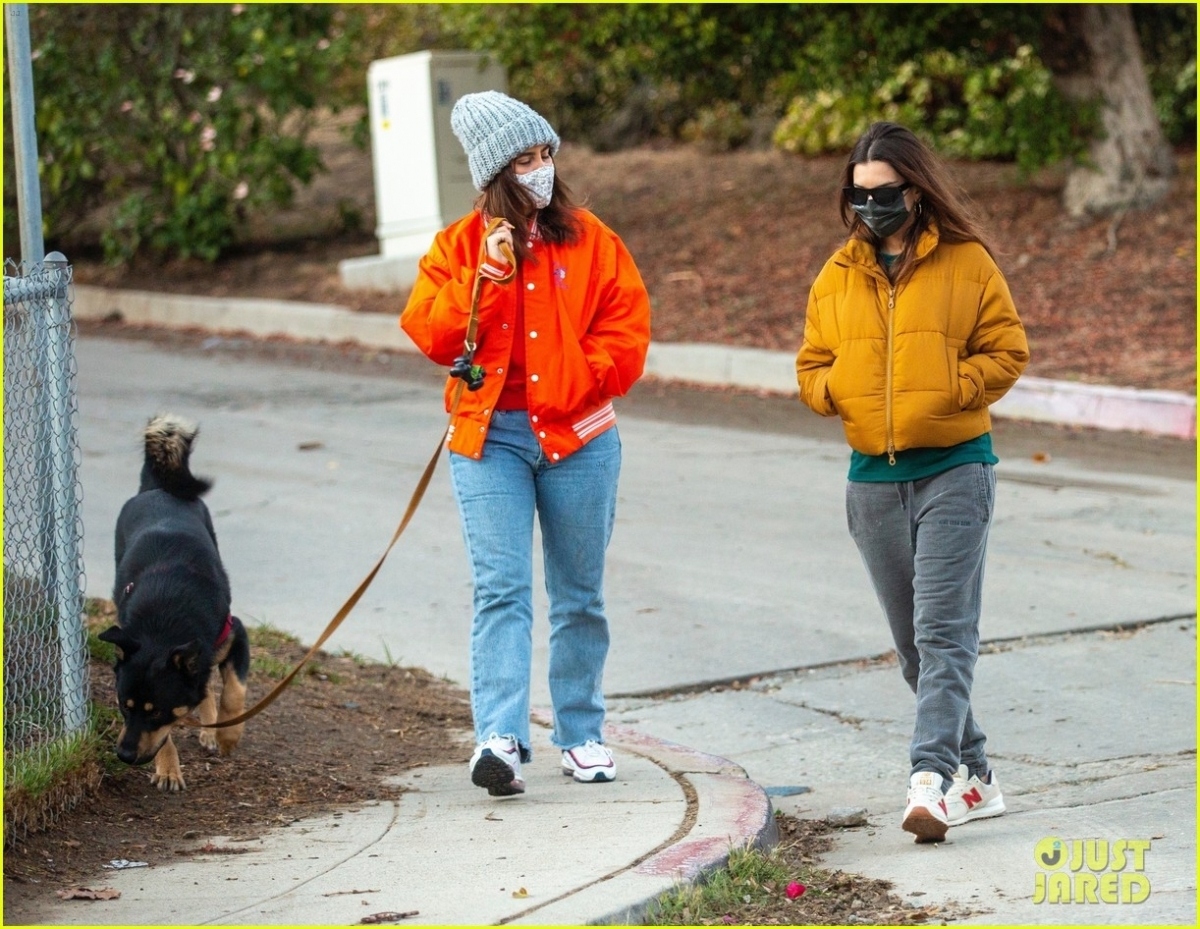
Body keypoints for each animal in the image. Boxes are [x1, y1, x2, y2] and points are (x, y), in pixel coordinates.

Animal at [101, 415, 253, 792]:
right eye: (123, 706)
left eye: (156, 711)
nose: (123, 756)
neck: (164, 623)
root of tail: (157, 488)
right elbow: (166, 736)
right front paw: (168, 769)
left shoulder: (235, 634)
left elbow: (234, 690)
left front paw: (228, 735)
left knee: (209, 679)